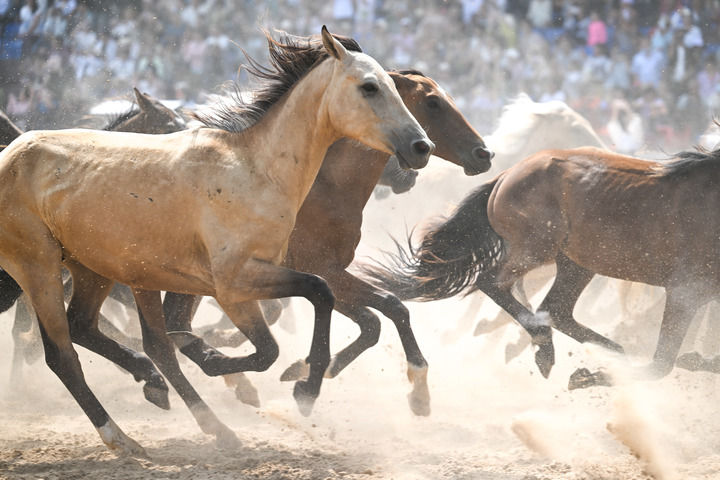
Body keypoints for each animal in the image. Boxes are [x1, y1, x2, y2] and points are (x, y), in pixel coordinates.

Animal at [0, 27, 434, 456]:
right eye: (370, 86)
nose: (421, 147)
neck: (256, 170)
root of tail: (9, 155)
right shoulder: (232, 283)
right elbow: (286, 328)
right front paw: (294, 384)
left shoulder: (258, 275)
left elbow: (306, 310)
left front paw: (289, 379)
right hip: (39, 268)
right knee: (62, 354)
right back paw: (124, 437)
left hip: (92, 268)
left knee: (91, 330)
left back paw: (164, 393)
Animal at [362, 145, 720, 390]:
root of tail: (507, 174)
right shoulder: (685, 292)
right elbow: (661, 364)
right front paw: (586, 376)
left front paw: (698, 358)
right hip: (536, 249)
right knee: (492, 283)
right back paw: (547, 347)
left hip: (575, 263)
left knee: (556, 309)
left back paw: (608, 350)